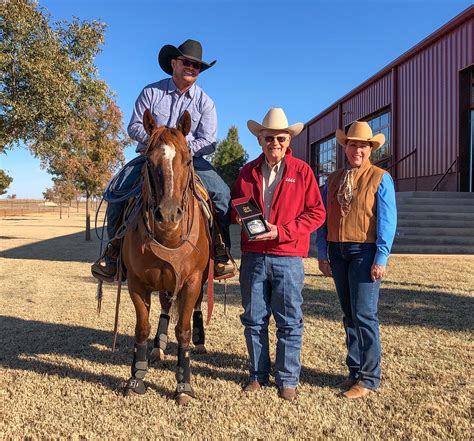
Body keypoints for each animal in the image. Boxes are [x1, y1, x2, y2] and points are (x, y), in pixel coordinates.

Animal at [122, 108, 209, 404]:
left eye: (189, 159)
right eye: (149, 161)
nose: (169, 214)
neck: (168, 238)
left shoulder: (192, 281)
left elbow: (182, 330)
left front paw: (184, 385)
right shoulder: (137, 282)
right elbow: (142, 327)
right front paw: (136, 377)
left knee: (194, 308)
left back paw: (200, 342)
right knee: (164, 307)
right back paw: (158, 347)